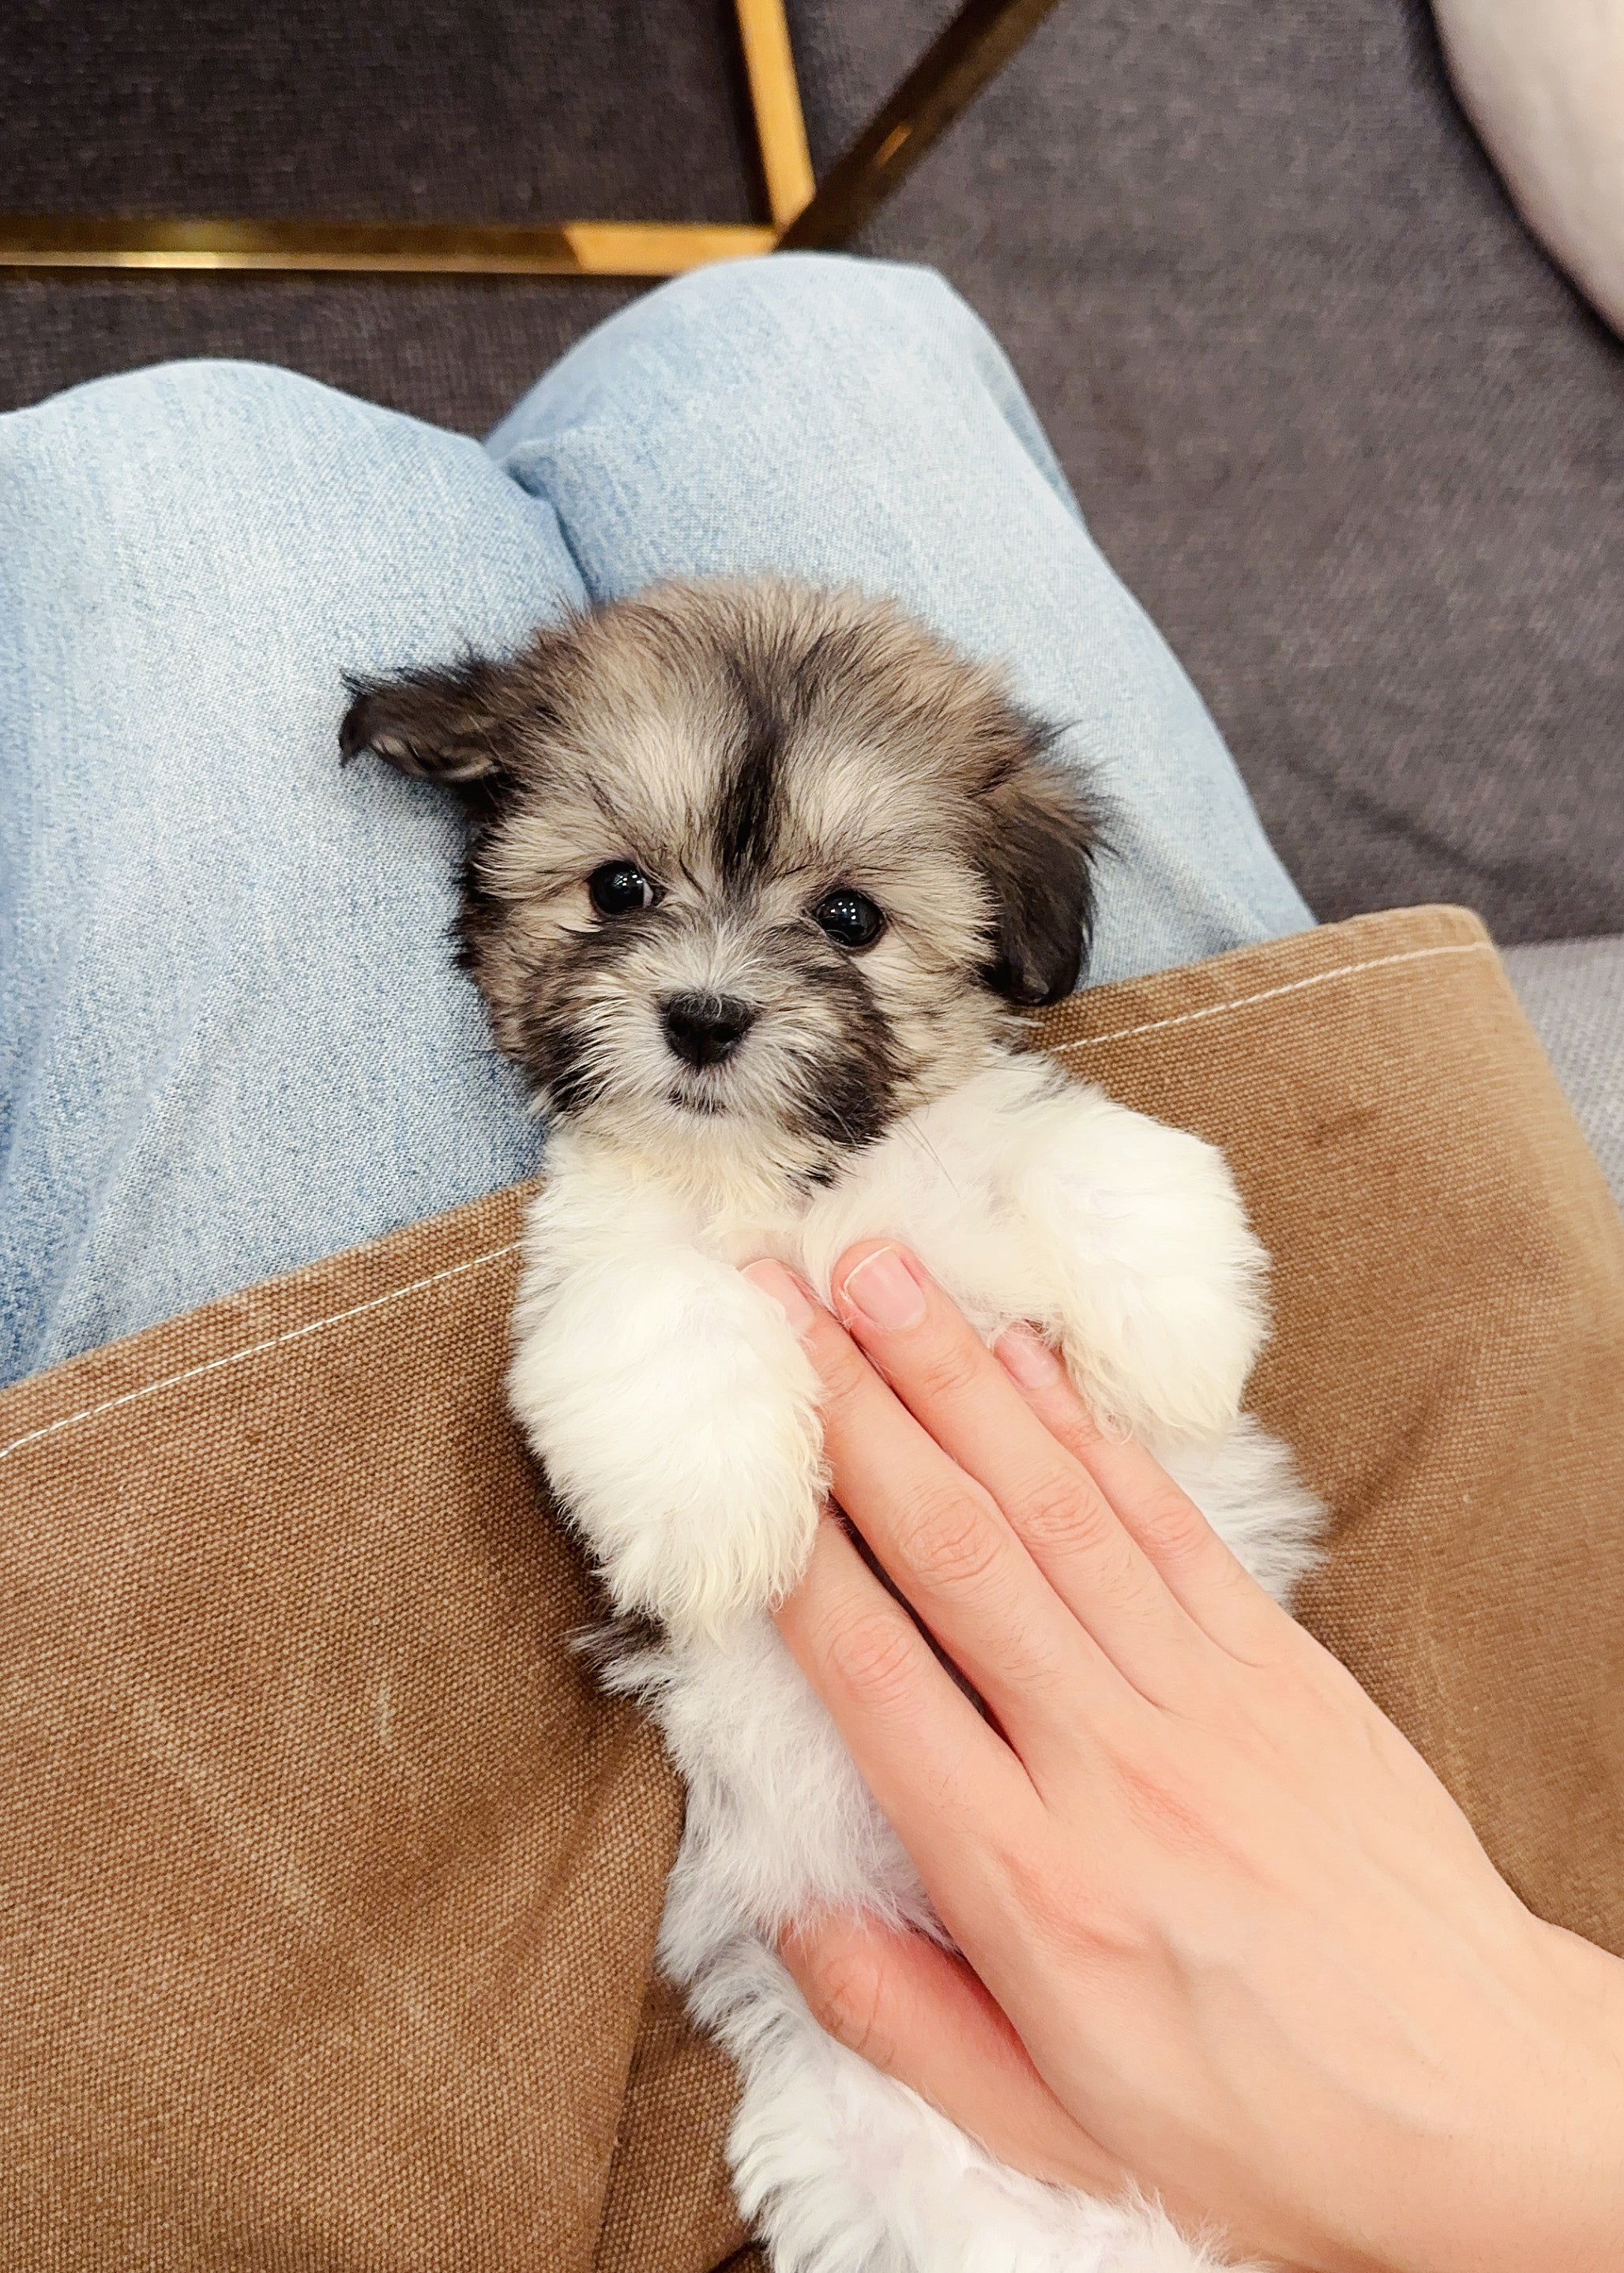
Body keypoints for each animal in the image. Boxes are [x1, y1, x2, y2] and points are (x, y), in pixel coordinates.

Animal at [340, 577, 1319, 2264]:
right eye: (616, 887)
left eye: (848, 916)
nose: (704, 1016)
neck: (786, 1176)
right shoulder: (605, 1247)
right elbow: (662, 1327)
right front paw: (729, 1512)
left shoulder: (981, 1143)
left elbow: (1094, 1157)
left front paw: (1178, 1329)